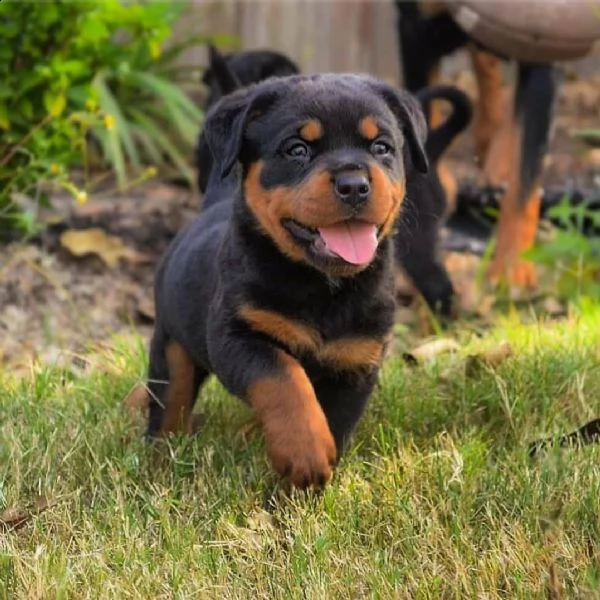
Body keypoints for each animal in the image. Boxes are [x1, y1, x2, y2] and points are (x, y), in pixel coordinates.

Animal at [148, 74, 428, 488]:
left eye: (382, 147)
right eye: (297, 149)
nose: (354, 183)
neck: (323, 286)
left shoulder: (355, 362)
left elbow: (332, 421)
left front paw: (303, 485)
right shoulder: (238, 335)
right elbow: (284, 379)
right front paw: (304, 453)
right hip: (170, 344)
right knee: (171, 399)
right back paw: (158, 457)